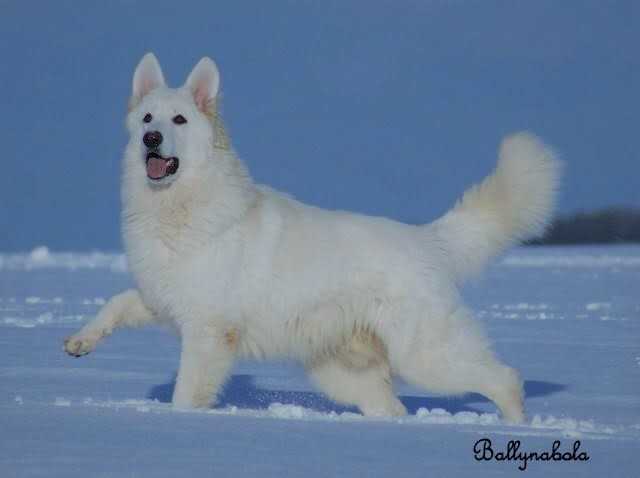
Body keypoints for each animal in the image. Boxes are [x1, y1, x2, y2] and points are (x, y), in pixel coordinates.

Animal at [63, 54, 560, 424]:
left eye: (179, 120)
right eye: (147, 117)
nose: (150, 138)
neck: (181, 206)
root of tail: (426, 239)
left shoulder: (207, 331)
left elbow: (187, 392)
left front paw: (179, 420)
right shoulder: (162, 298)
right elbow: (117, 303)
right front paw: (82, 341)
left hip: (425, 356)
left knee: (504, 378)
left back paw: (516, 425)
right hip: (342, 371)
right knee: (393, 407)